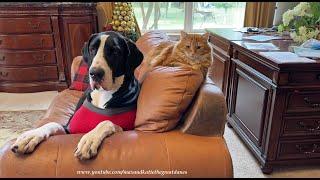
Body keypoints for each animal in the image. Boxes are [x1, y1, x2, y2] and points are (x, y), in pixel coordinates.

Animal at [10, 31, 142, 160]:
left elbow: (106, 122)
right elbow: (52, 124)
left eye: (115, 51)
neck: (103, 94)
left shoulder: (126, 129)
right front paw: (31, 136)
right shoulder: (69, 129)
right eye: (92, 49)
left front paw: (89, 139)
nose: (95, 73)